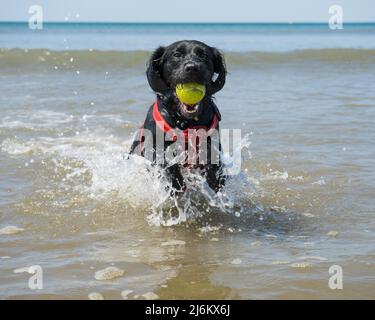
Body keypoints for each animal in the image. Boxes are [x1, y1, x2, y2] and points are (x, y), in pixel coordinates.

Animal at [130, 41, 226, 194]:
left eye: (203, 55)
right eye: (176, 54)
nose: (192, 68)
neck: (186, 123)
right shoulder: (153, 147)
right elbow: (166, 163)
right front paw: (176, 182)